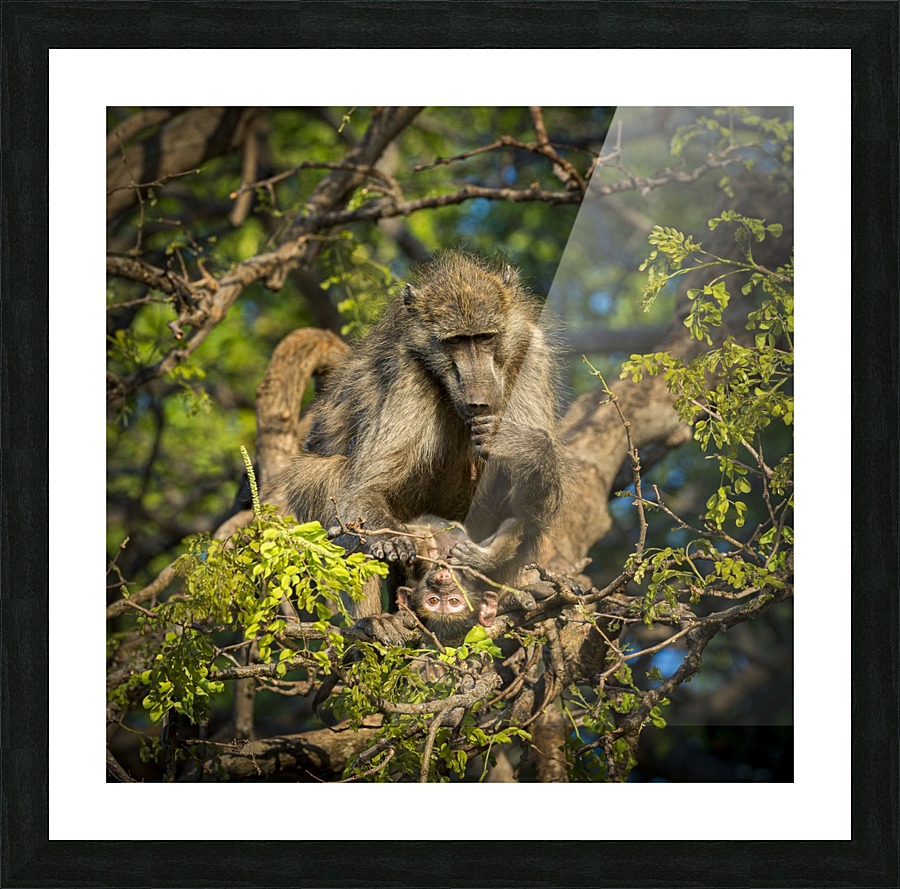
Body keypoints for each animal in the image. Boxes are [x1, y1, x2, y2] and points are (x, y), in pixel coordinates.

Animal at [271, 250, 568, 616]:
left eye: (485, 337)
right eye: (455, 342)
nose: (480, 401)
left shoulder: (532, 352)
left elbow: (530, 507)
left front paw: (524, 446)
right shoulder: (407, 369)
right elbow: (365, 489)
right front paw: (390, 541)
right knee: (330, 477)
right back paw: (375, 622)